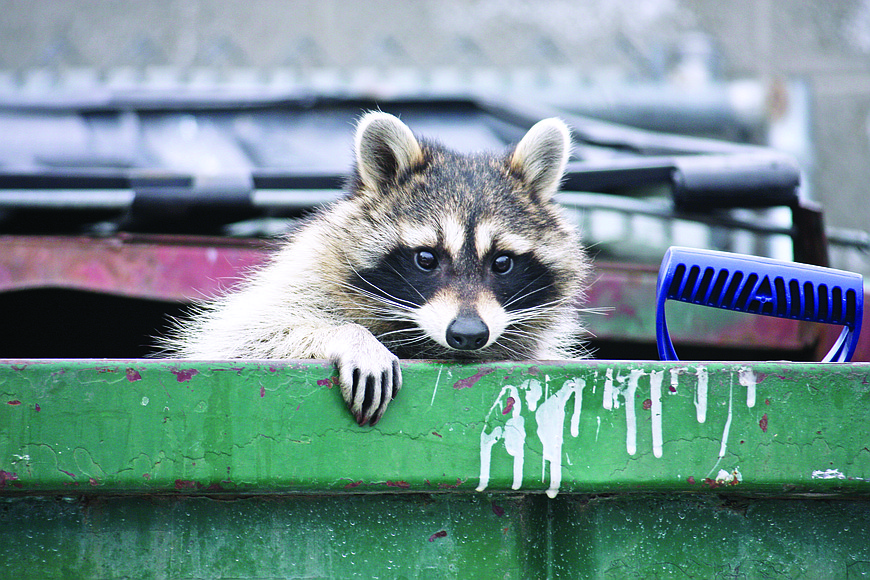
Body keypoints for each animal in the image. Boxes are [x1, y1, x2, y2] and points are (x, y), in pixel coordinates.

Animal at [165, 111, 592, 426]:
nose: (469, 334)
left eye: (502, 262)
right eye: (426, 259)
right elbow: (245, 337)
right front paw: (349, 336)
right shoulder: (301, 277)